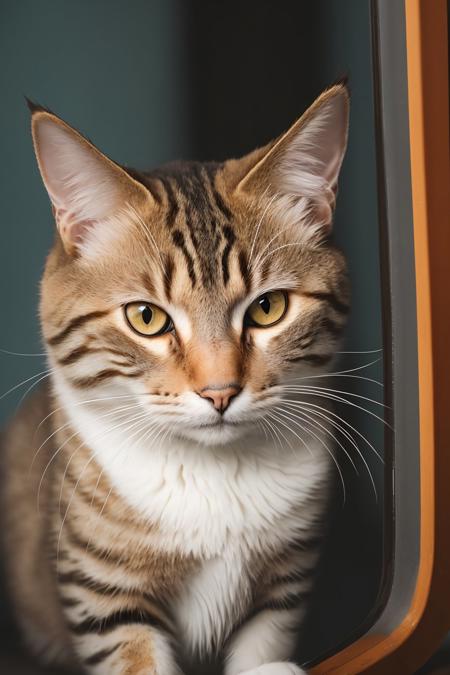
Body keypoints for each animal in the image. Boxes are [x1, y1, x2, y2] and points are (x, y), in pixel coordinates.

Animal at [0, 84, 348, 675]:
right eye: (146, 318)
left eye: (269, 308)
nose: (220, 392)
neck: (213, 476)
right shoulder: (105, 595)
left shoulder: (284, 584)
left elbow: (263, 645)